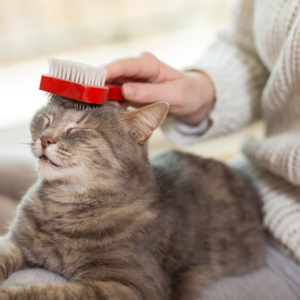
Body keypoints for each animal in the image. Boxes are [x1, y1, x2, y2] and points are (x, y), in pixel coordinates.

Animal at [0, 96, 264, 300]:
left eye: (78, 129)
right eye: (46, 119)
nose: (45, 138)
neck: (64, 208)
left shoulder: (132, 287)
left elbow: (54, 292)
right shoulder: (14, 241)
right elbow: (6, 255)